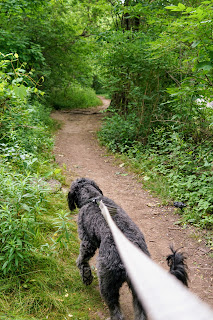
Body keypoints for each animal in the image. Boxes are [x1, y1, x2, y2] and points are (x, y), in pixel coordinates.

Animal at [67, 178, 188, 320]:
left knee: (116, 311)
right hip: (138, 292)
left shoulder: (87, 242)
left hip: (107, 282)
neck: (92, 198)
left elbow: (82, 261)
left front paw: (86, 276)